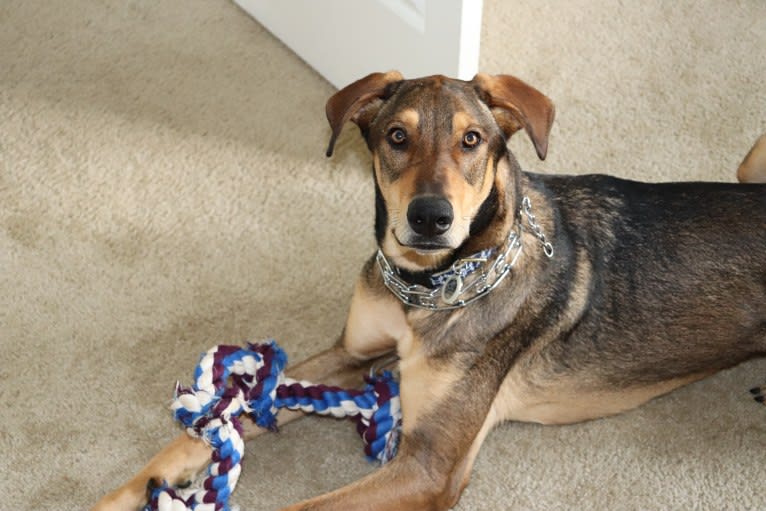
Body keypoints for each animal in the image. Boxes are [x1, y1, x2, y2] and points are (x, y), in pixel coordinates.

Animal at [96, 73, 766, 511]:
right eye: (396, 135)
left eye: (473, 140)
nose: (430, 217)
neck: (424, 290)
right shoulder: (350, 354)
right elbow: (199, 431)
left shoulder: (430, 466)